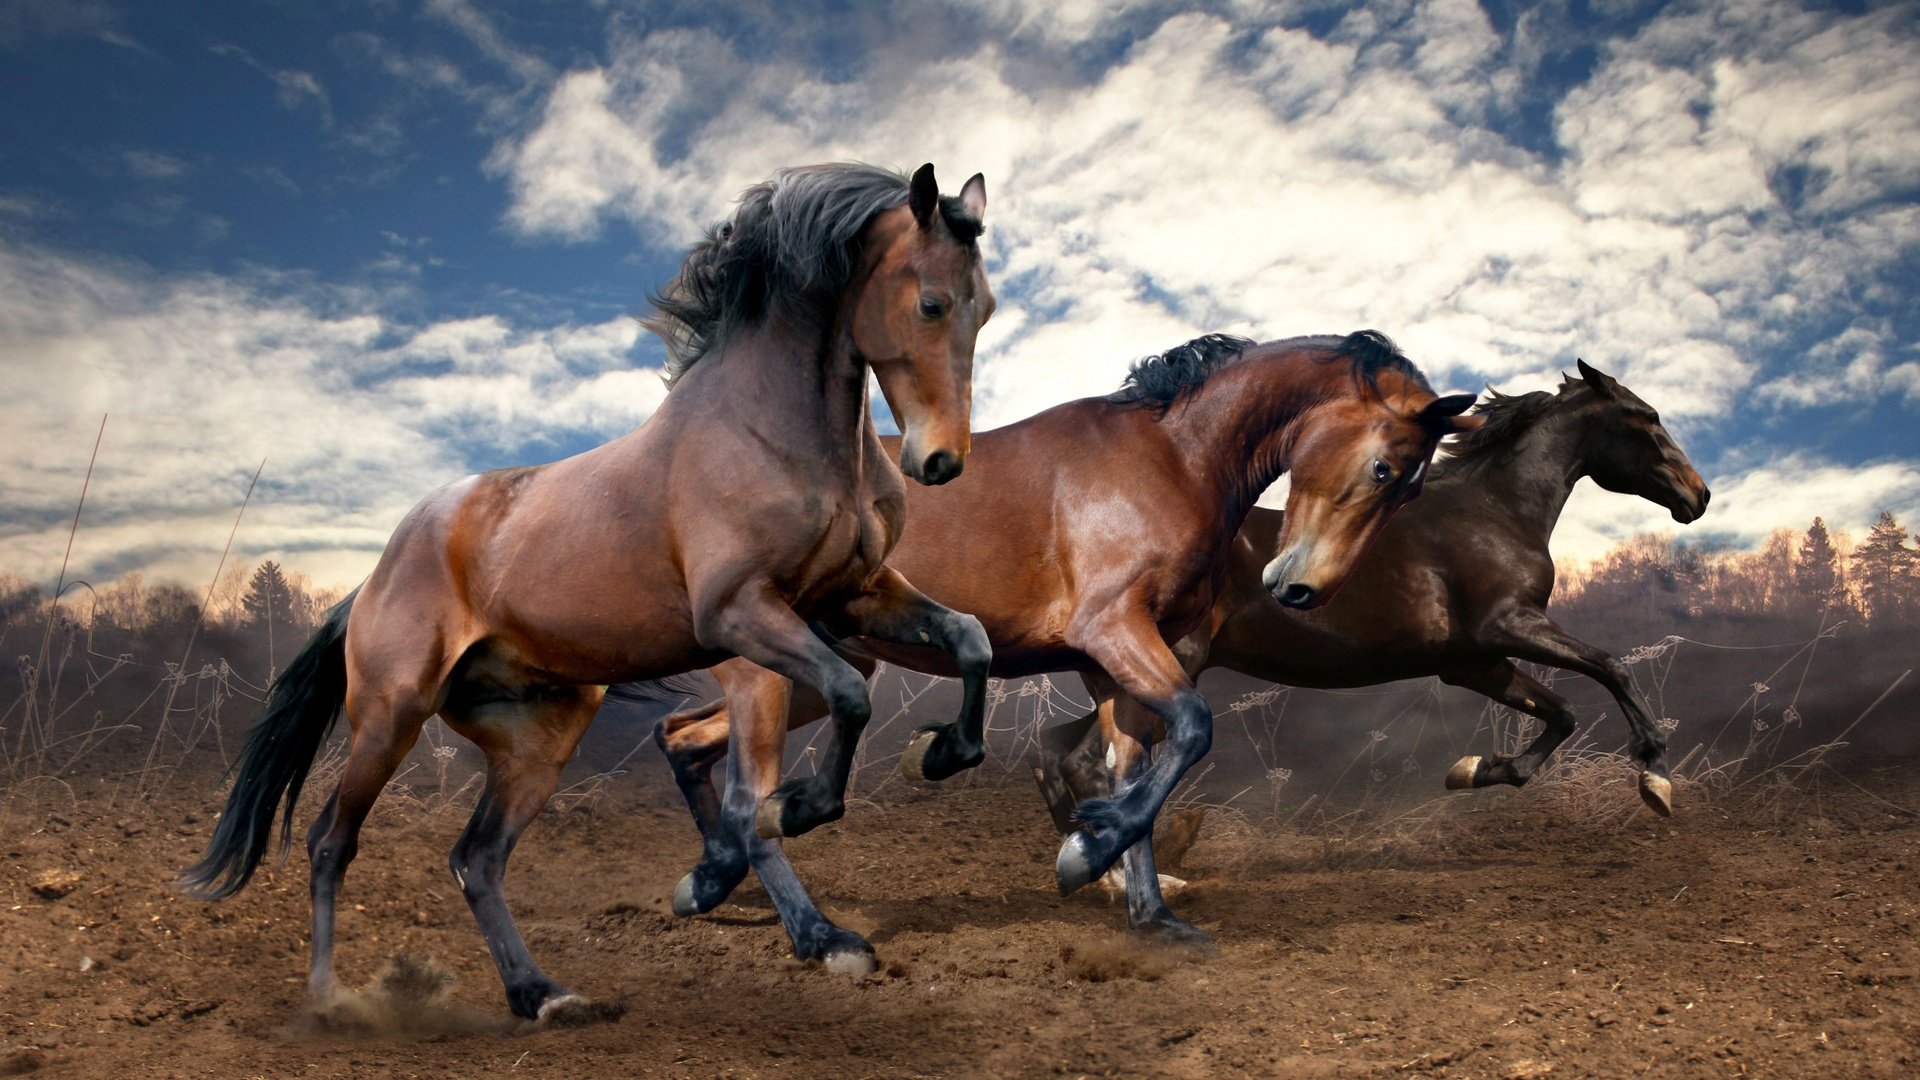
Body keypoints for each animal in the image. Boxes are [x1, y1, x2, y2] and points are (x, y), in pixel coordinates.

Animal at [180, 161, 998, 1014]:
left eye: (988, 307)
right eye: (931, 302)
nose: (940, 462)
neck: (774, 432)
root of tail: (370, 581)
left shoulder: (853, 595)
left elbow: (968, 638)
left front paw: (940, 753)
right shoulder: (739, 614)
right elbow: (844, 700)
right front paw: (800, 819)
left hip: (540, 736)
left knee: (476, 858)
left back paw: (540, 994)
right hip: (389, 717)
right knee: (329, 842)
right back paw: (330, 999)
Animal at [652, 330, 1474, 949]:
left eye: (1408, 489)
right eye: (1384, 468)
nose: (1301, 589)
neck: (1173, 459)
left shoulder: (1114, 665)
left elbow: (1135, 766)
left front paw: (1150, 911)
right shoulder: (1113, 630)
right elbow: (1192, 730)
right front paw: (1084, 856)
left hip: (818, 676)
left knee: (683, 738)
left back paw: (707, 882)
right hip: (771, 676)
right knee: (745, 799)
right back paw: (819, 935)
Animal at [1036, 359, 1712, 914]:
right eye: (1647, 418)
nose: (1699, 495)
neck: (1493, 513)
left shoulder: (1476, 662)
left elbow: (1562, 712)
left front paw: (1474, 770)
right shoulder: (1509, 625)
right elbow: (1609, 667)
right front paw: (1656, 779)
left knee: (1058, 752)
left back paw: (1099, 872)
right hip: (1171, 668)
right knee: (1087, 760)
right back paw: (1119, 876)